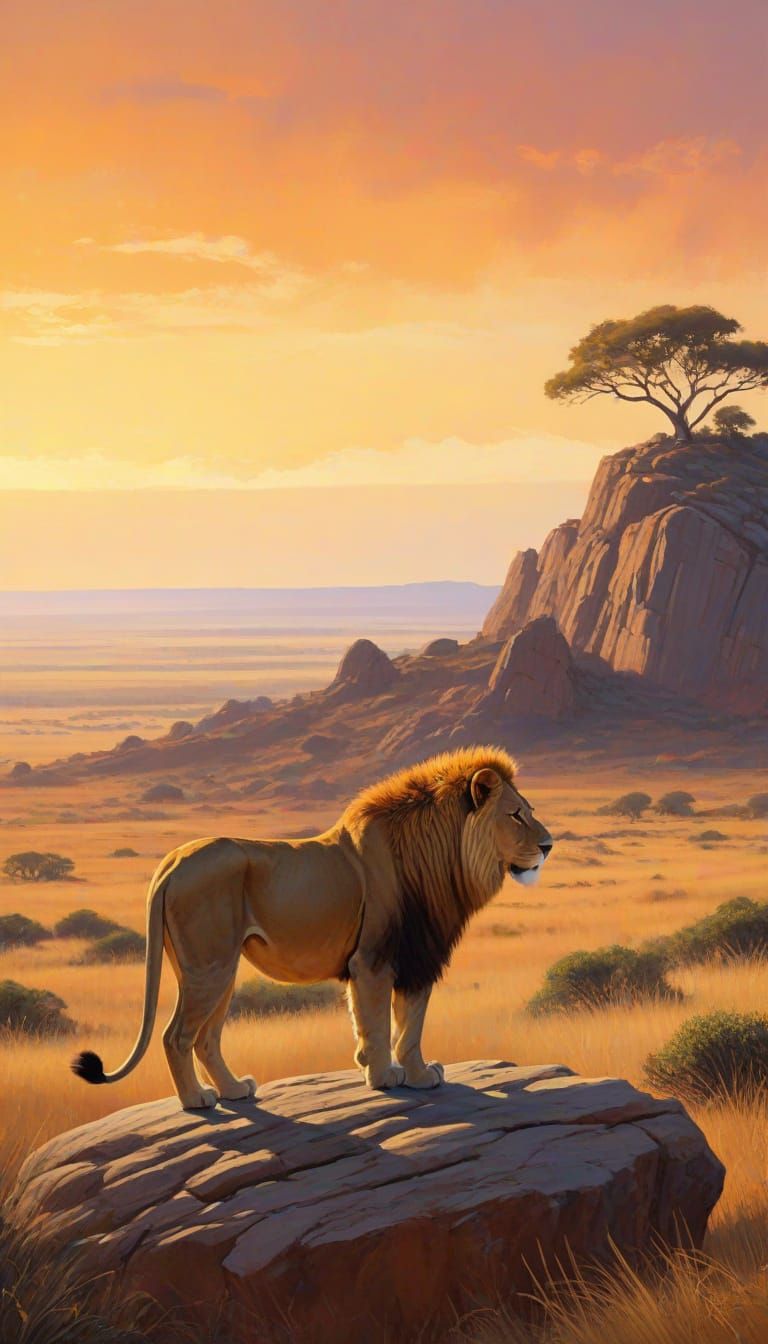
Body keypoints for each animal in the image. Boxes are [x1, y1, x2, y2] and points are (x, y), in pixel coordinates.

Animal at [72, 746, 553, 1108]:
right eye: (515, 815)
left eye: (529, 810)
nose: (549, 845)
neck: (443, 858)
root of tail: (170, 863)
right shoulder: (376, 959)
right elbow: (385, 1024)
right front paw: (387, 1076)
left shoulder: (415, 954)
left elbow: (404, 1023)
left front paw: (398, 1070)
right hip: (209, 968)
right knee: (176, 1037)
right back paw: (197, 1100)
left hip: (215, 970)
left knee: (206, 1038)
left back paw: (234, 1090)